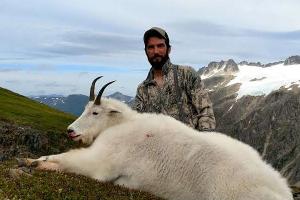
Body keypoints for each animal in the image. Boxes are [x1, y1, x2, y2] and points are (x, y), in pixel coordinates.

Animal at [26, 77, 292, 200]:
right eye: (85, 108)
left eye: (95, 112)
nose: (70, 131)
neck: (120, 125)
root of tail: (284, 192)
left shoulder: (101, 163)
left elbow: (67, 160)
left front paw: (35, 162)